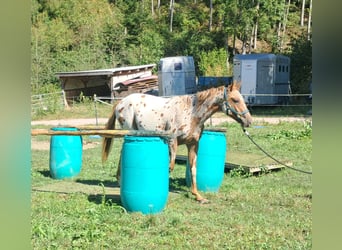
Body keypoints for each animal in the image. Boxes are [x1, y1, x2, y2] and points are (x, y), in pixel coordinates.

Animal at [101, 82, 251, 203]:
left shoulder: (193, 145)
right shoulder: (172, 141)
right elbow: (170, 166)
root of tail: (120, 102)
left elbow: (193, 169)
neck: (191, 113)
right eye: (235, 100)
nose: (249, 121)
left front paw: (198, 196)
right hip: (130, 132)